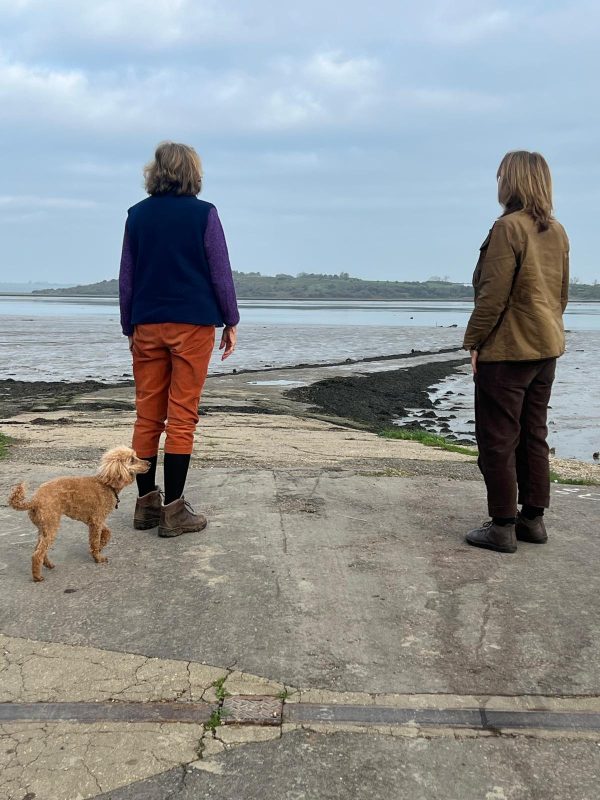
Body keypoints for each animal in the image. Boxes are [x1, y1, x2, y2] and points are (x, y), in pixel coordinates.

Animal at [8, 444, 150, 580]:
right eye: (132, 460)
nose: (149, 463)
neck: (107, 484)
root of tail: (35, 499)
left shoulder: (95, 521)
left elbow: (107, 533)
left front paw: (101, 546)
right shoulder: (96, 521)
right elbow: (95, 541)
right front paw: (98, 557)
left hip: (43, 527)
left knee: (38, 549)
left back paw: (48, 564)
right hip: (51, 525)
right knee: (37, 554)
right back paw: (37, 577)